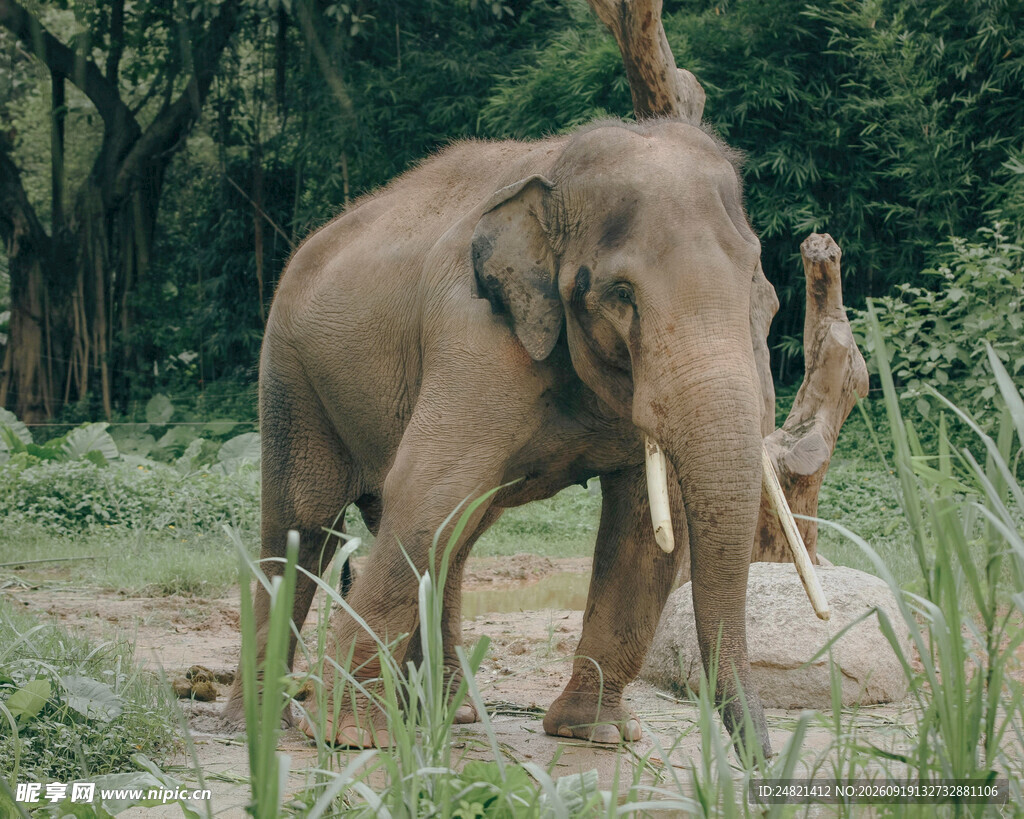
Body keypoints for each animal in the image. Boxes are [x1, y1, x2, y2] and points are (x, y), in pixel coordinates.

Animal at [223, 117, 776, 758]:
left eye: (760, 290)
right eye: (621, 294)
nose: (762, 760)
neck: (557, 175)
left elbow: (645, 529)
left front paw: (598, 732)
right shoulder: (474, 332)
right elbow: (428, 487)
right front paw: (350, 735)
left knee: (453, 534)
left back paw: (440, 713)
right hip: (290, 376)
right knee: (303, 527)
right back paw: (258, 723)